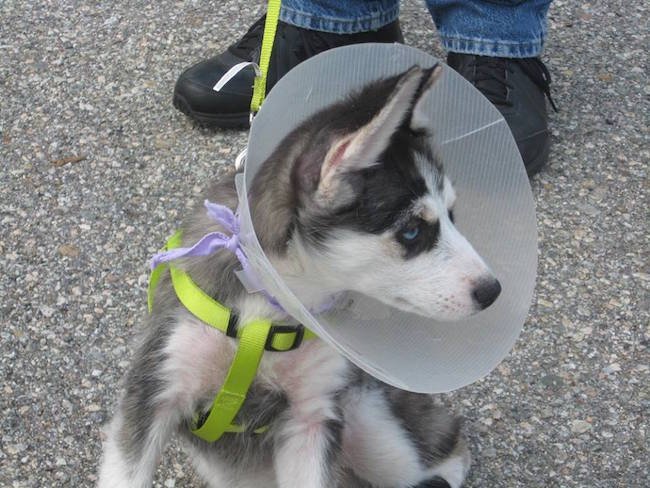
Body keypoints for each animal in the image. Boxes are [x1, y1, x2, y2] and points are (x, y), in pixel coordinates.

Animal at [98, 64, 501, 488]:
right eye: (411, 231)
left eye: (452, 215)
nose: (493, 291)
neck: (268, 306)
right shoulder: (153, 393)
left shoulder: (313, 416)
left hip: (374, 427)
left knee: (450, 449)